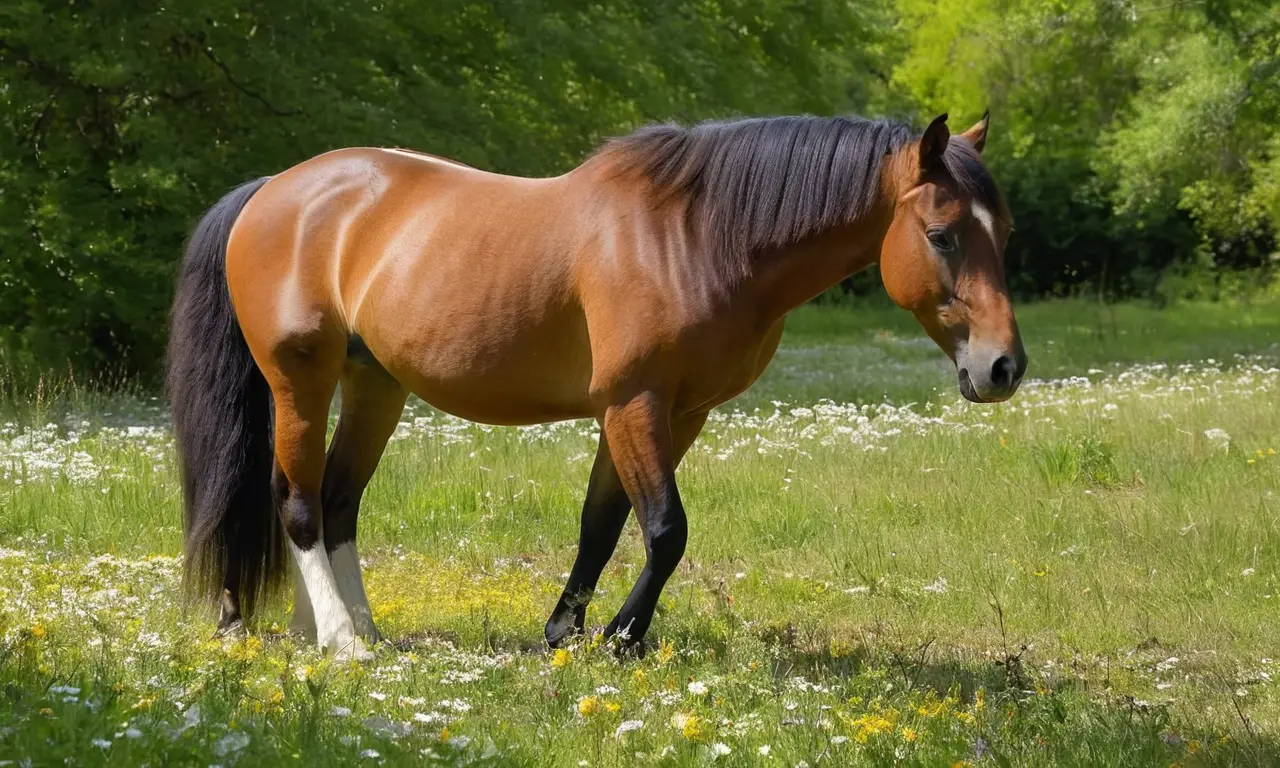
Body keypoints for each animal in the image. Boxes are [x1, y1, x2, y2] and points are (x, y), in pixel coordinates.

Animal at [168, 111, 1025, 660]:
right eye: (942, 235)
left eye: (1004, 231)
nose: (1002, 367)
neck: (694, 239)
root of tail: (273, 190)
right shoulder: (632, 403)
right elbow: (666, 529)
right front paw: (618, 638)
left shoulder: (678, 414)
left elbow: (604, 525)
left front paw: (567, 635)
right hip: (300, 380)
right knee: (299, 502)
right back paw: (342, 642)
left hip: (375, 385)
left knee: (338, 500)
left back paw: (344, 628)